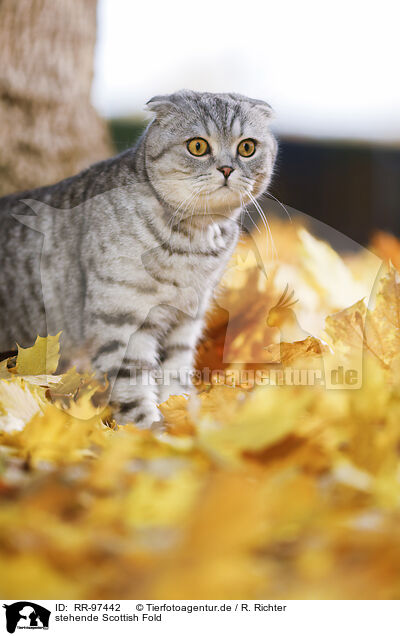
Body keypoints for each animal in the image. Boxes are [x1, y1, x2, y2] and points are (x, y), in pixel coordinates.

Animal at [0, 89, 276, 428]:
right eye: (198, 146)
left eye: (247, 148)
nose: (227, 169)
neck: (194, 240)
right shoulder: (123, 318)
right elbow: (132, 384)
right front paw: (148, 430)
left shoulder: (187, 319)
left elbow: (175, 374)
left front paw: (182, 415)